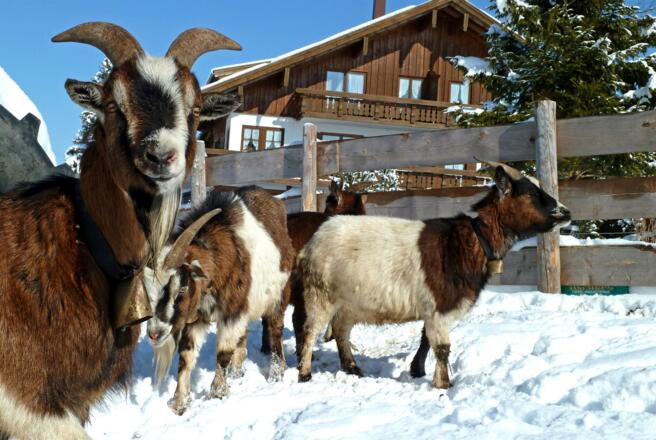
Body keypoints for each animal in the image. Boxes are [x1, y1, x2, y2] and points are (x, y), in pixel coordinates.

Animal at [146, 186, 295, 415]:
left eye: (182, 288)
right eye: (148, 291)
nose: (154, 334)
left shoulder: (232, 312)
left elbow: (223, 352)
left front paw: (217, 393)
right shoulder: (195, 316)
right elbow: (186, 356)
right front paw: (179, 403)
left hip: (278, 294)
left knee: (274, 328)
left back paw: (277, 372)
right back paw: (237, 371)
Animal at [295, 161, 571, 389]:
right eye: (530, 193)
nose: (565, 212)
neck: (469, 242)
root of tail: (315, 240)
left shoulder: (434, 309)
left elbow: (426, 339)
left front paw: (418, 370)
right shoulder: (439, 307)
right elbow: (442, 348)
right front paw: (443, 385)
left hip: (350, 302)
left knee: (341, 330)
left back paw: (352, 367)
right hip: (320, 295)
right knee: (309, 329)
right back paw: (305, 373)